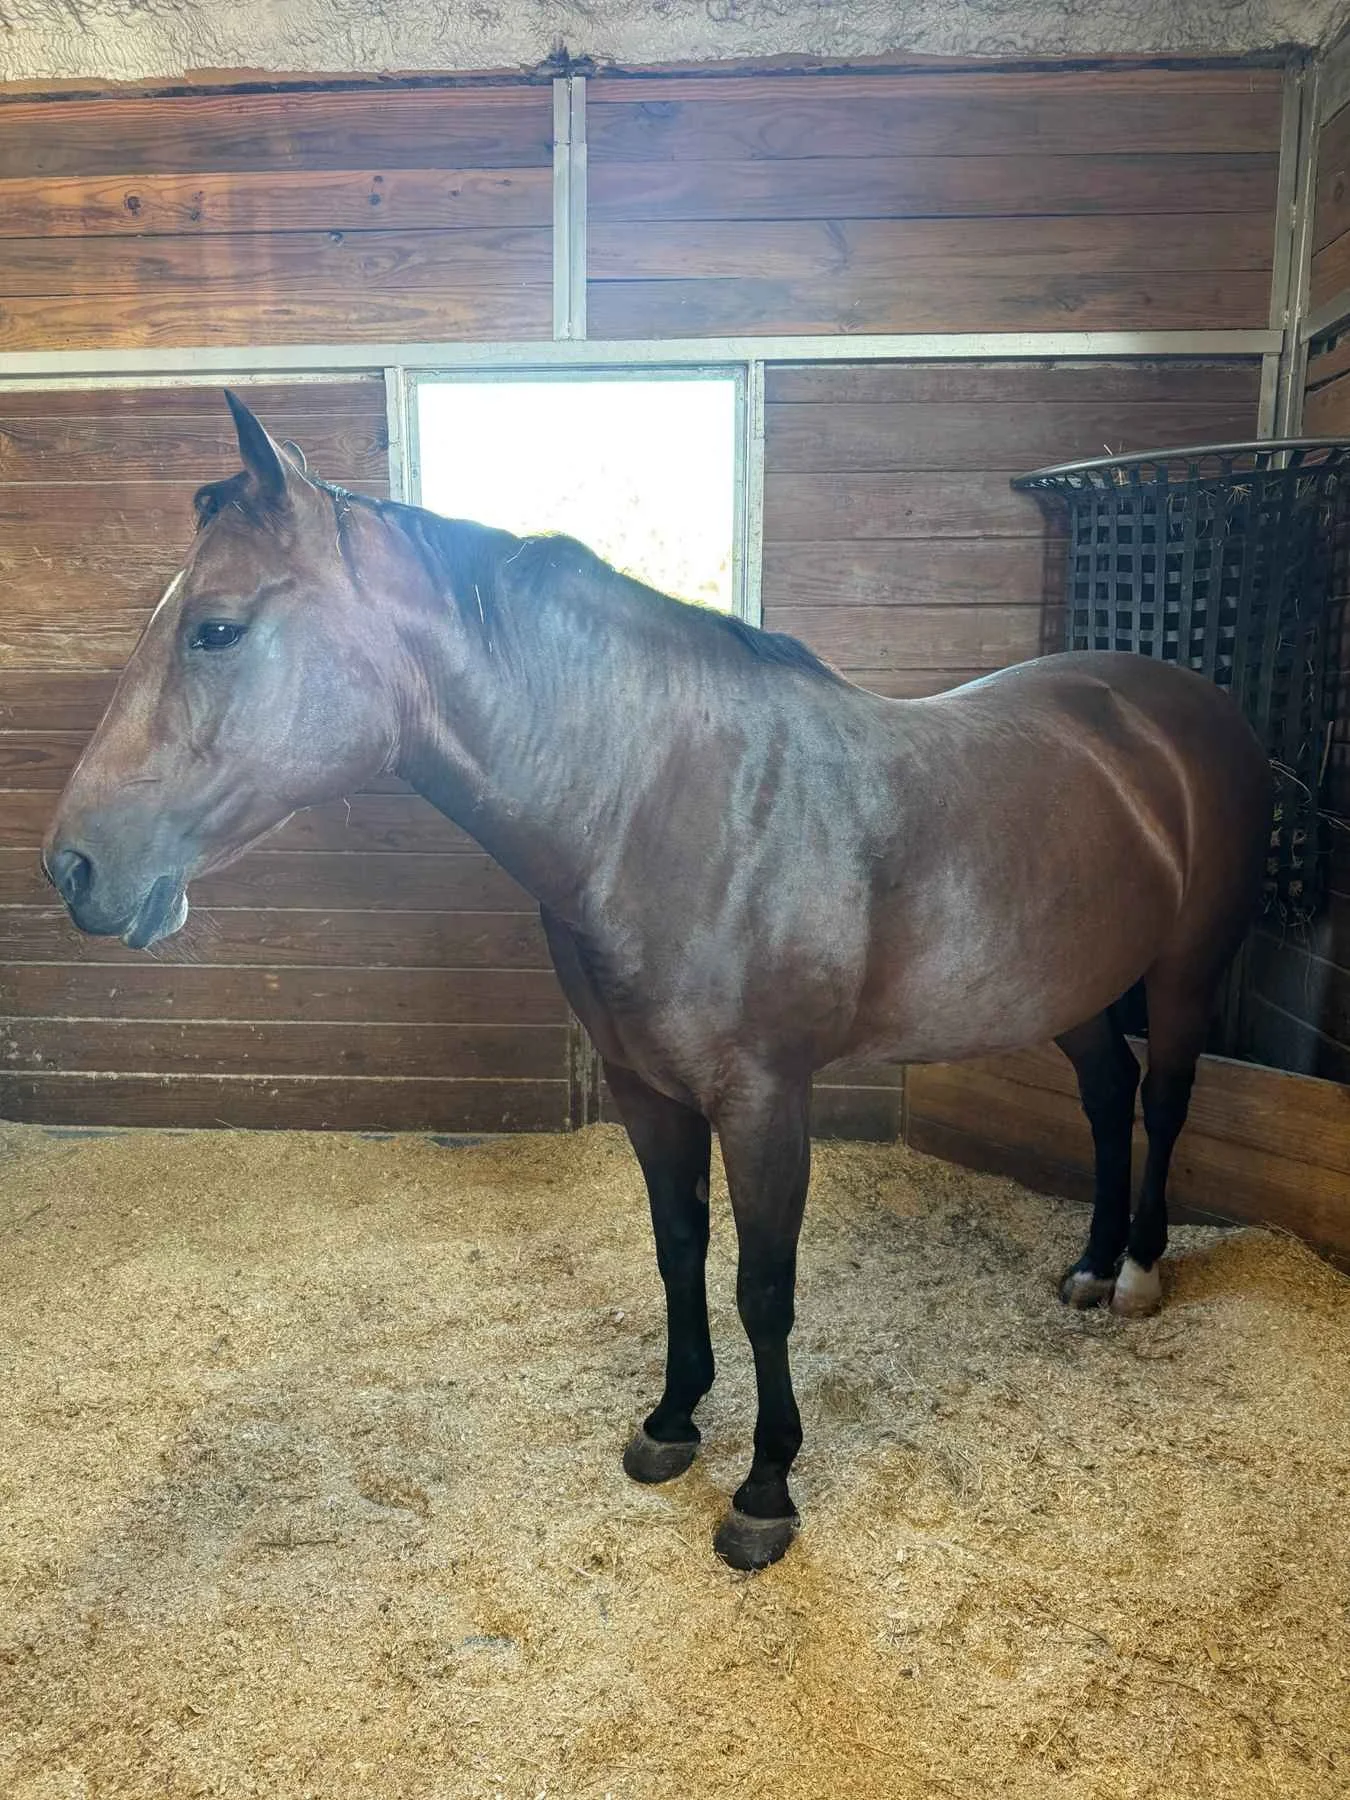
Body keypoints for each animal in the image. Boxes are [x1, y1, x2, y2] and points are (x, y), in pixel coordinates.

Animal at [44, 391, 1272, 1570]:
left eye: (216, 629)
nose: (74, 867)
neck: (661, 804)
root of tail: (1179, 704)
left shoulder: (767, 1101)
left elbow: (764, 1288)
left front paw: (766, 1489)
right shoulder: (646, 1089)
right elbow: (680, 1253)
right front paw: (674, 1422)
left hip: (1180, 975)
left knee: (1164, 1100)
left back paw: (1138, 1273)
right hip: (1069, 994)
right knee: (1107, 1098)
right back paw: (1089, 1265)